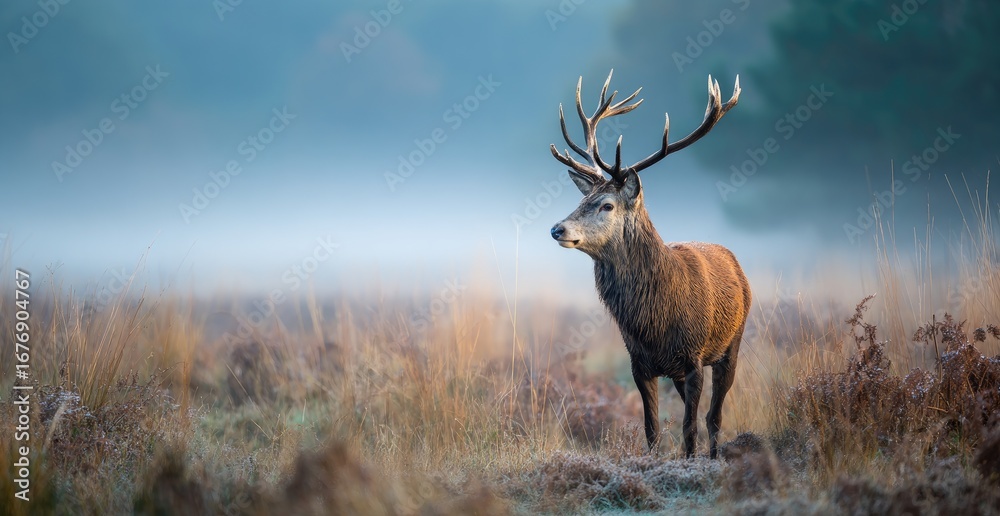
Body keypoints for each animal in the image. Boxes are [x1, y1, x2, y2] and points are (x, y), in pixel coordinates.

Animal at [548, 71, 751, 459]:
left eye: (607, 205)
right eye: (582, 199)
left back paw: (714, 457)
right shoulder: (639, 363)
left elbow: (689, 428)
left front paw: (691, 464)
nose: (557, 229)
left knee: (714, 417)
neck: (655, 321)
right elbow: (652, 430)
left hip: (732, 343)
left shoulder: (693, 357)